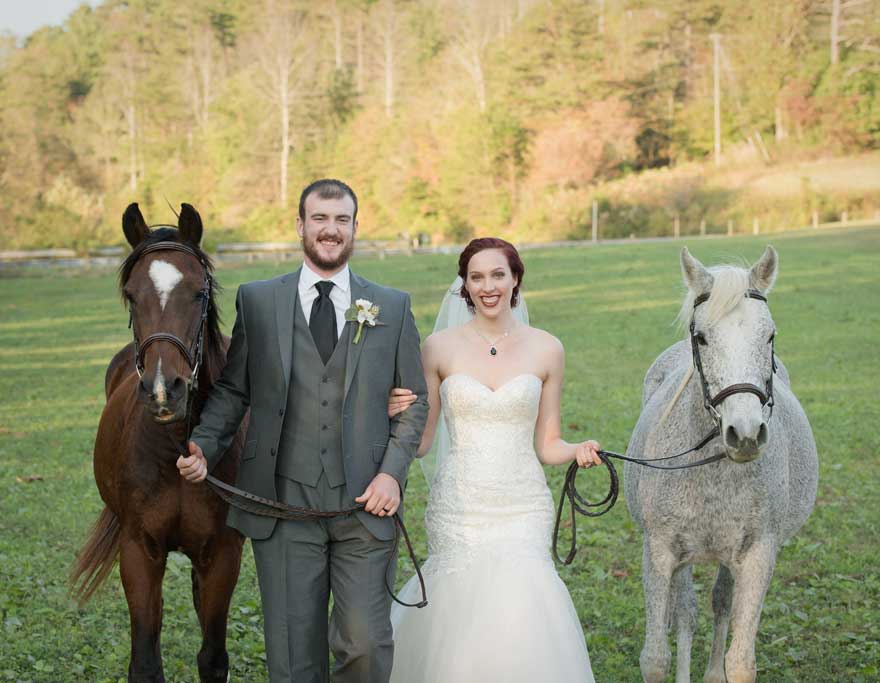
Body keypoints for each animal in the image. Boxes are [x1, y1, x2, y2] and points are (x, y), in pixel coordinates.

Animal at [69, 203, 244, 683]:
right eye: (132, 295)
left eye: (199, 293)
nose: (165, 391)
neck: (175, 451)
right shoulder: (139, 552)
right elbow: (145, 661)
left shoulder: (223, 553)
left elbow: (213, 657)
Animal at [624, 247, 820, 683]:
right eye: (701, 336)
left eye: (770, 335)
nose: (744, 433)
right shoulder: (660, 552)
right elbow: (656, 656)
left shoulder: (758, 556)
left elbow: (741, 659)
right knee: (687, 613)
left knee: (721, 604)